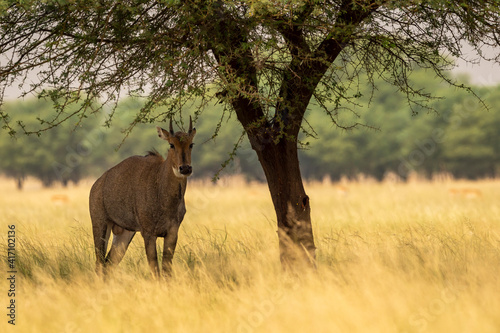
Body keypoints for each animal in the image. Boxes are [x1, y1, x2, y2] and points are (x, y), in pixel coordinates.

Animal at [90, 115, 195, 276]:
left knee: (109, 264)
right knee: (99, 264)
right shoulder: (148, 233)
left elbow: (166, 270)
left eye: (191, 144)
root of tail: (96, 185)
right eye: (171, 144)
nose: (185, 168)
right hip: (100, 224)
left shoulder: (172, 232)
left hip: (125, 233)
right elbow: (155, 269)